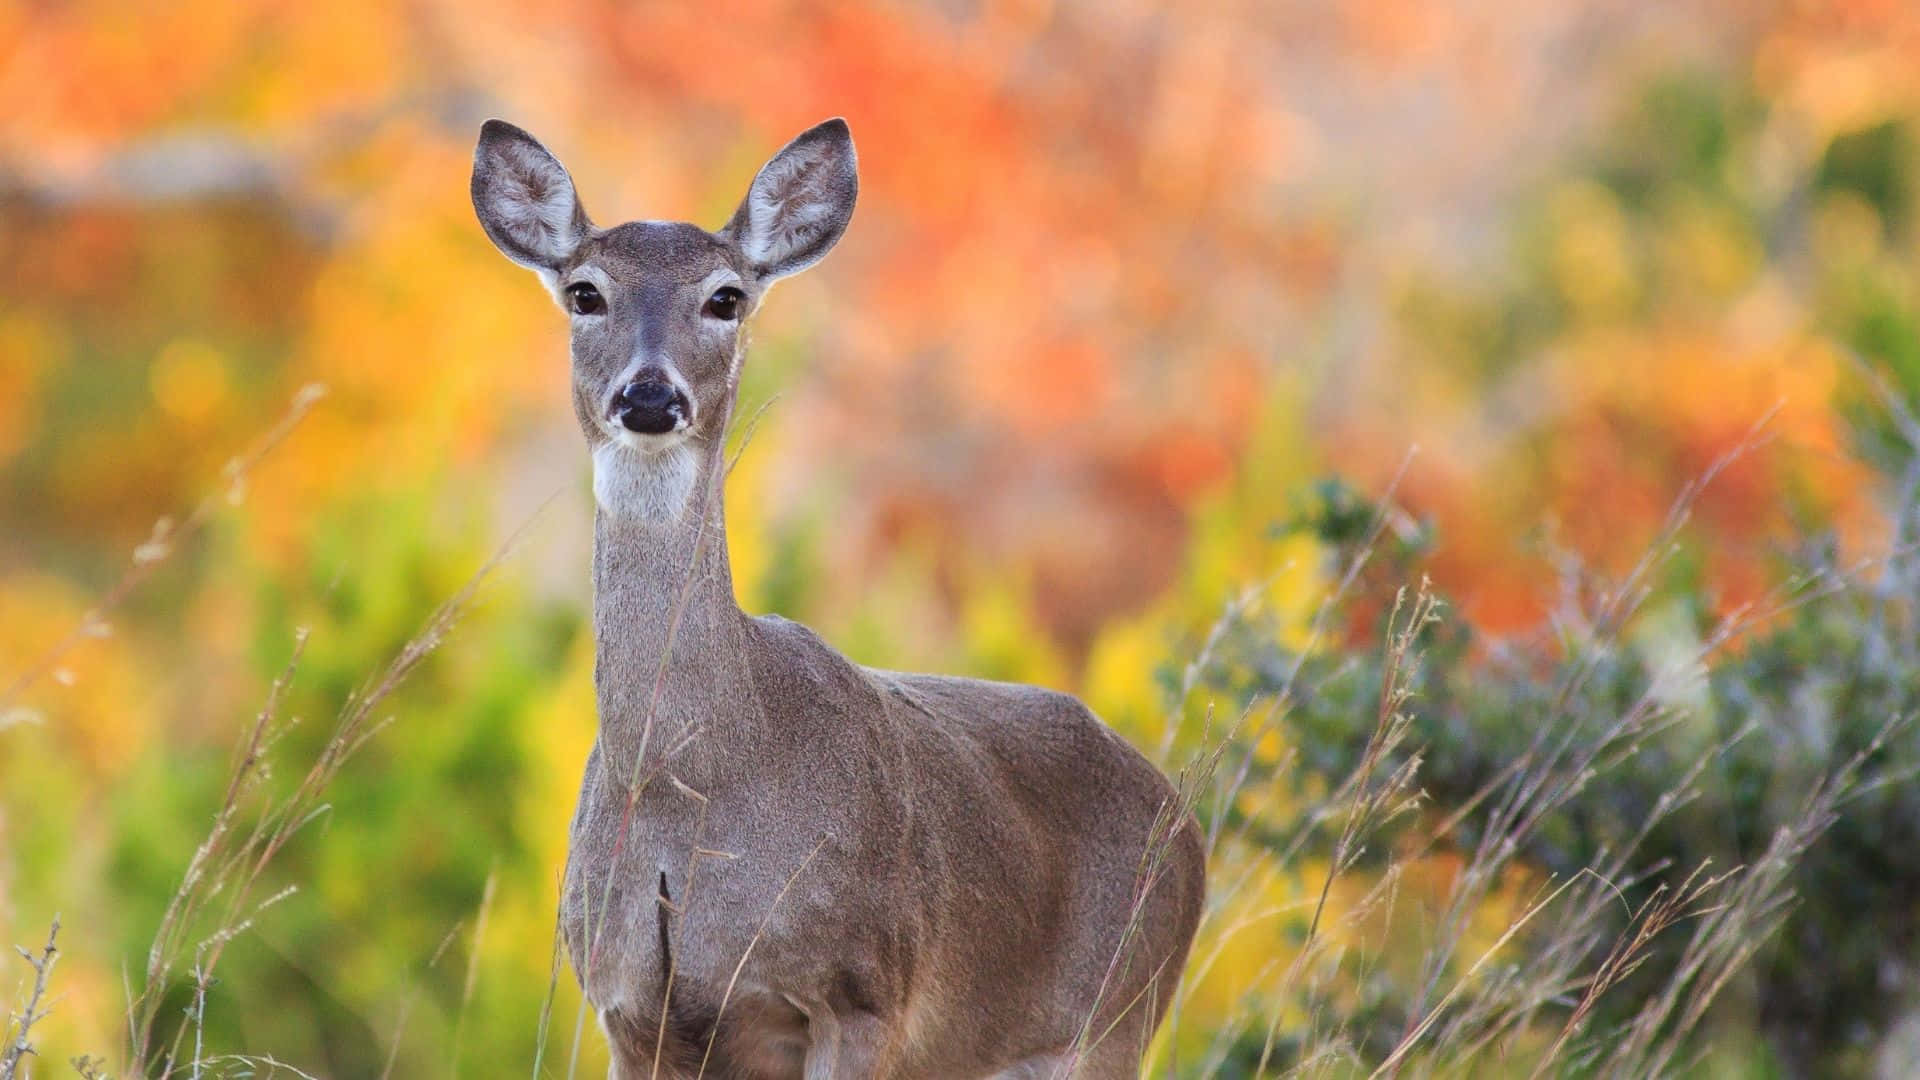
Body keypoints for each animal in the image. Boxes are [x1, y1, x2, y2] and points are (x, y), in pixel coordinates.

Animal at [471, 116, 1206, 1079]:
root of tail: (1190, 835)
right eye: (585, 292)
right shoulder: (628, 1009)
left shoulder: (863, 991)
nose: (650, 395)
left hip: (1114, 1019)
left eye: (727, 298)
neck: (694, 787)